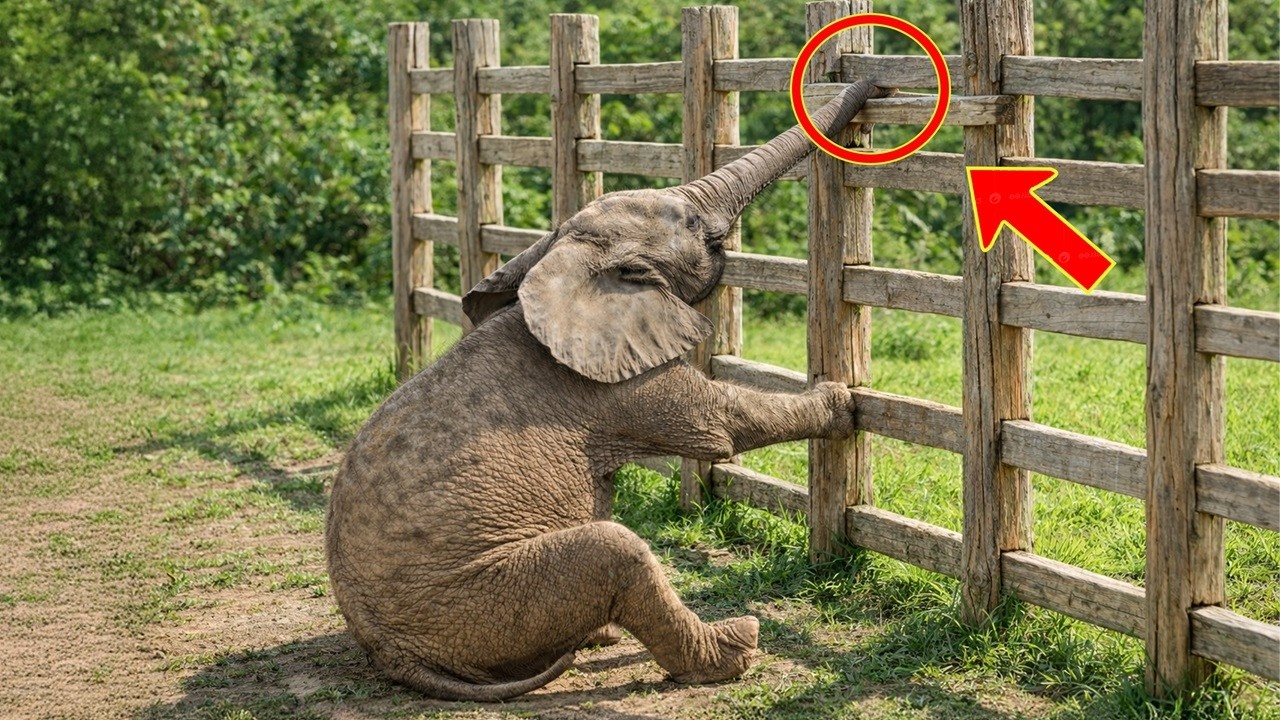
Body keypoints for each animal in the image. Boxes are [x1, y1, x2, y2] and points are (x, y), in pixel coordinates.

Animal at [326, 78, 891, 702]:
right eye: (690, 224)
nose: (874, 85)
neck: (566, 264)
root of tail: (392, 656)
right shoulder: (616, 383)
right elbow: (718, 422)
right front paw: (844, 401)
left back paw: (599, 637)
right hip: (475, 602)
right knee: (616, 551)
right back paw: (735, 646)